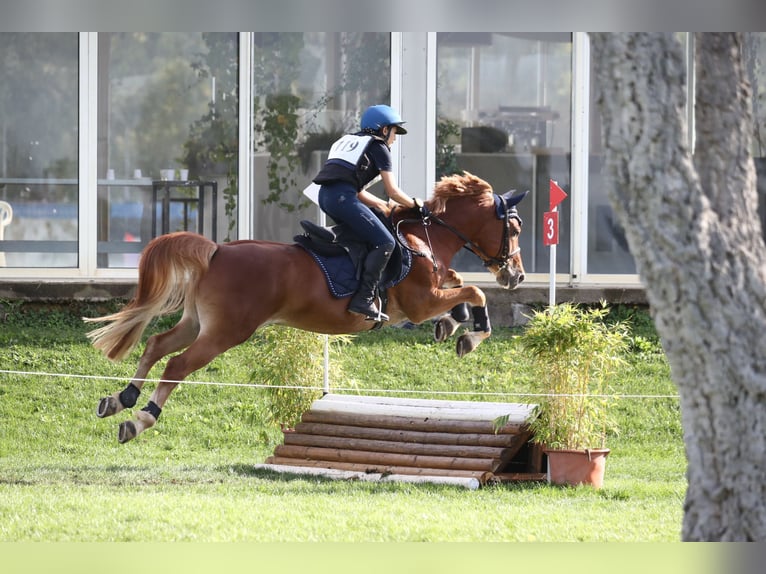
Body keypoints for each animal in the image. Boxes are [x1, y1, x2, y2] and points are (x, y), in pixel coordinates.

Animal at [84, 171, 528, 446]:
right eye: (514, 228)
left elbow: (459, 285)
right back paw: (140, 419)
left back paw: (120, 399)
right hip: (226, 332)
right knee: (177, 365)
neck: (422, 238)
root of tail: (216, 250)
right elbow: (475, 291)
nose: (517, 275)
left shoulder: (432, 293)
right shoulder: (421, 303)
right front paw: (470, 334)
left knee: (157, 344)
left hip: (198, 323)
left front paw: (453, 325)